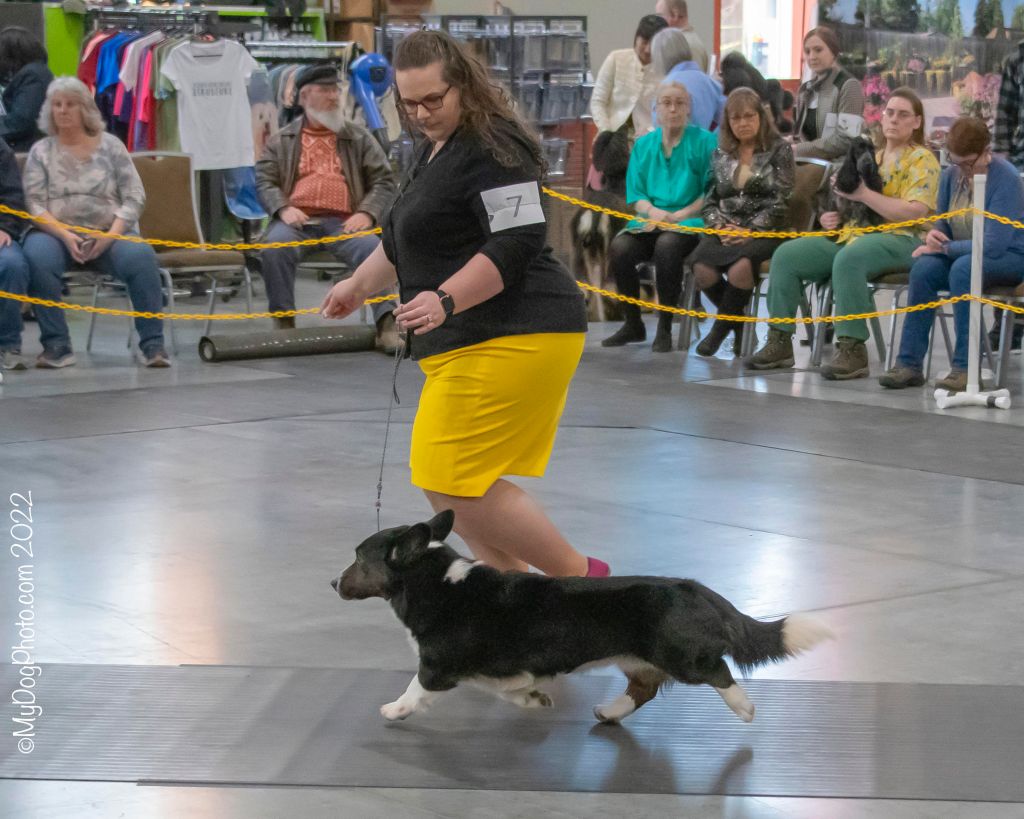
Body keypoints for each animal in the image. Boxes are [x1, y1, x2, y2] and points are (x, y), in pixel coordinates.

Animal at [331, 510, 834, 725]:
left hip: (681, 656)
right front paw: (535, 700)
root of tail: (693, 588)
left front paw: (393, 710)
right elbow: (510, 691)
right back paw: (609, 712)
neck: (435, 580)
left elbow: (414, 689)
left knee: (719, 671)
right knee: (643, 690)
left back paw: (744, 708)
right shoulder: (494, 671)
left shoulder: (436, 666)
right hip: (637, 659)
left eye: (357, 558)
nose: (333, 583)